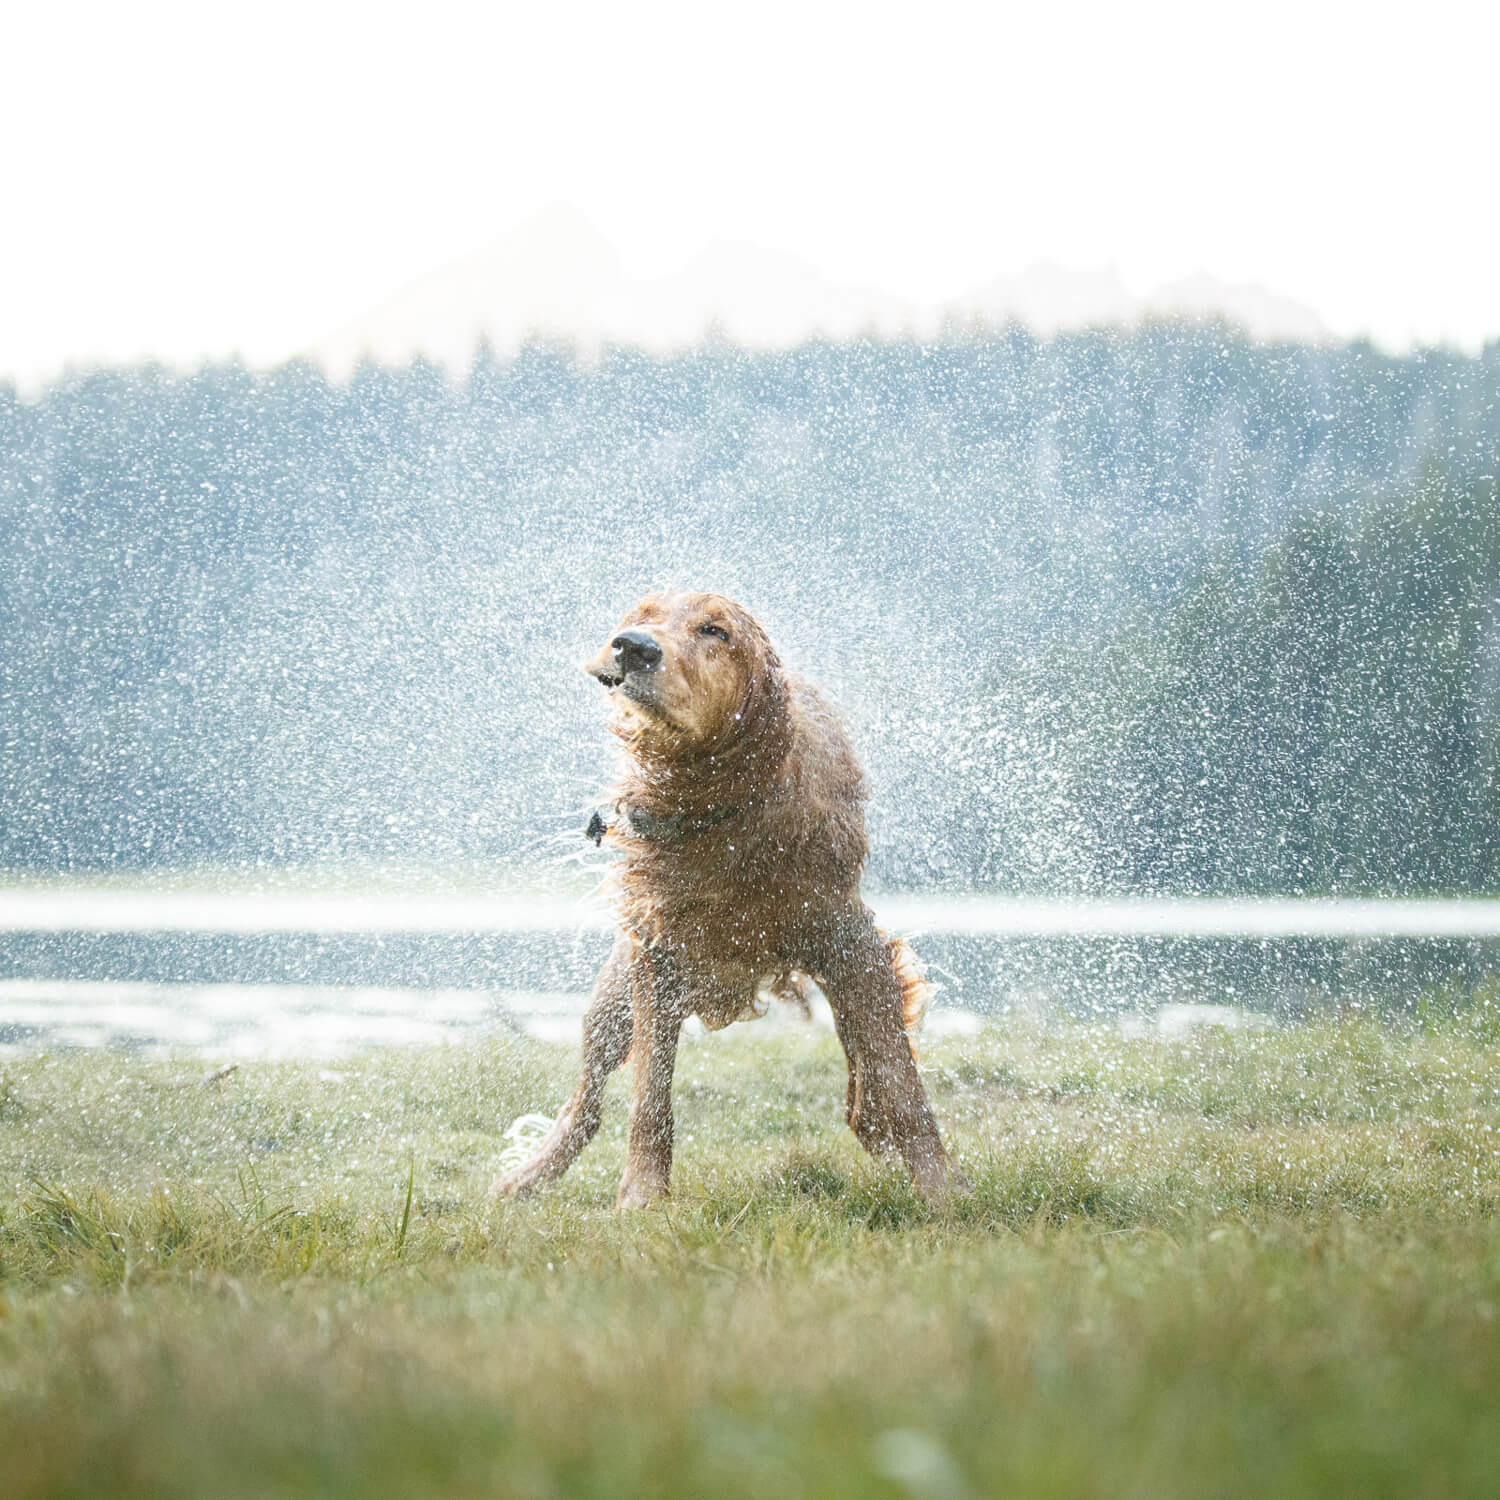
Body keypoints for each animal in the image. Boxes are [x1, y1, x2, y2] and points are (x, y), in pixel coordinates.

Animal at [492, 585, 960, 1206]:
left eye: (715, 631)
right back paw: (529, 1175)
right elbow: (650, 1093)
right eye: (642, 617)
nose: (632, 647)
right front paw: (642, 1196)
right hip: (610, 1000)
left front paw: (941, 1186)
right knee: (586, 1099)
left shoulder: (847, 937)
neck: (715, 806)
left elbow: (900, 1078)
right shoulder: (657, 950)